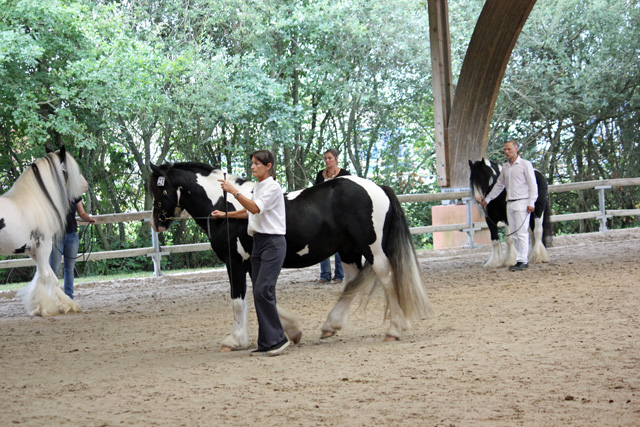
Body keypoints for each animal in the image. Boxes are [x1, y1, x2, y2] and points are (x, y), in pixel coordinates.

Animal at [0, 149, 87, 316]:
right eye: (68, 168)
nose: (85, 185)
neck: (33, 201)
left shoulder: (33, 251)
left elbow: (50, 276)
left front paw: (66, 304)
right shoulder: (44, 246)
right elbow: (45, 276)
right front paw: (45, 308)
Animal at [148, 161, 432, 352]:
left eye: (160, 190)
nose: (156, 223)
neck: (226, 206)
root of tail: (378, 188)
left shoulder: (235, 263)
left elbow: (239, 301)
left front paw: (235, 340)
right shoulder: (253, 263)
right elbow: (262, 296)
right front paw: (293, 330)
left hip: (372, 249)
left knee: (387, 278)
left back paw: (394, 329)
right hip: (349, 251)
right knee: (352, 282)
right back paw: (331, 325)